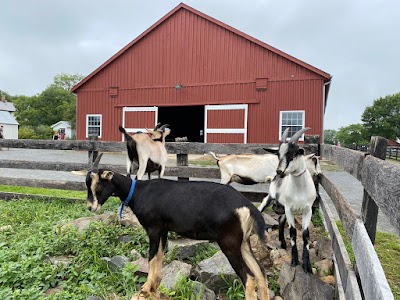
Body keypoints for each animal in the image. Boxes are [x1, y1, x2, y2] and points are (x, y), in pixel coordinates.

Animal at [83, 155, 268, 300]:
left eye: (97, 185)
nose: (90, 207)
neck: (138, 192)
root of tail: (246, 205)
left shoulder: (153, 229)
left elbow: (151, 257)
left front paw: (144, 290)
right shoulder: (163, 230)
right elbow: (159, 257)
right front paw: (154, 288)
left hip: (229, 243)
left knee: (249, 279)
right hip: (243, 242)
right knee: (260, 273)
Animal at [258, 127, 318, 274]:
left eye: (294, 153)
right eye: (278, 154)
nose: (279, 171)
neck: (300, 189)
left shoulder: (307, 210)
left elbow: (305, 234)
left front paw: (307, 265)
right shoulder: (290, 208)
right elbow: (292, 232)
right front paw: (294, 261)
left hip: (283, 208)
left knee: (280, 220)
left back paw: (283, 243)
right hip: (271, 199)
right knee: (260, 210)